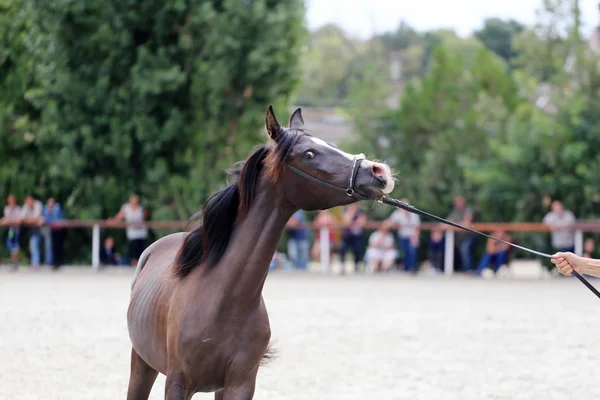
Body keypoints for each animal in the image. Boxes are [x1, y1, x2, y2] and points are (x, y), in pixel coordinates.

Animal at [127, 104, 394, 398]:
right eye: (309, 153)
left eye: (332, 145)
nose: (379, 172)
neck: (222, 298)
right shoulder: (177, 383)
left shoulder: (241, 384)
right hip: (141, 363)